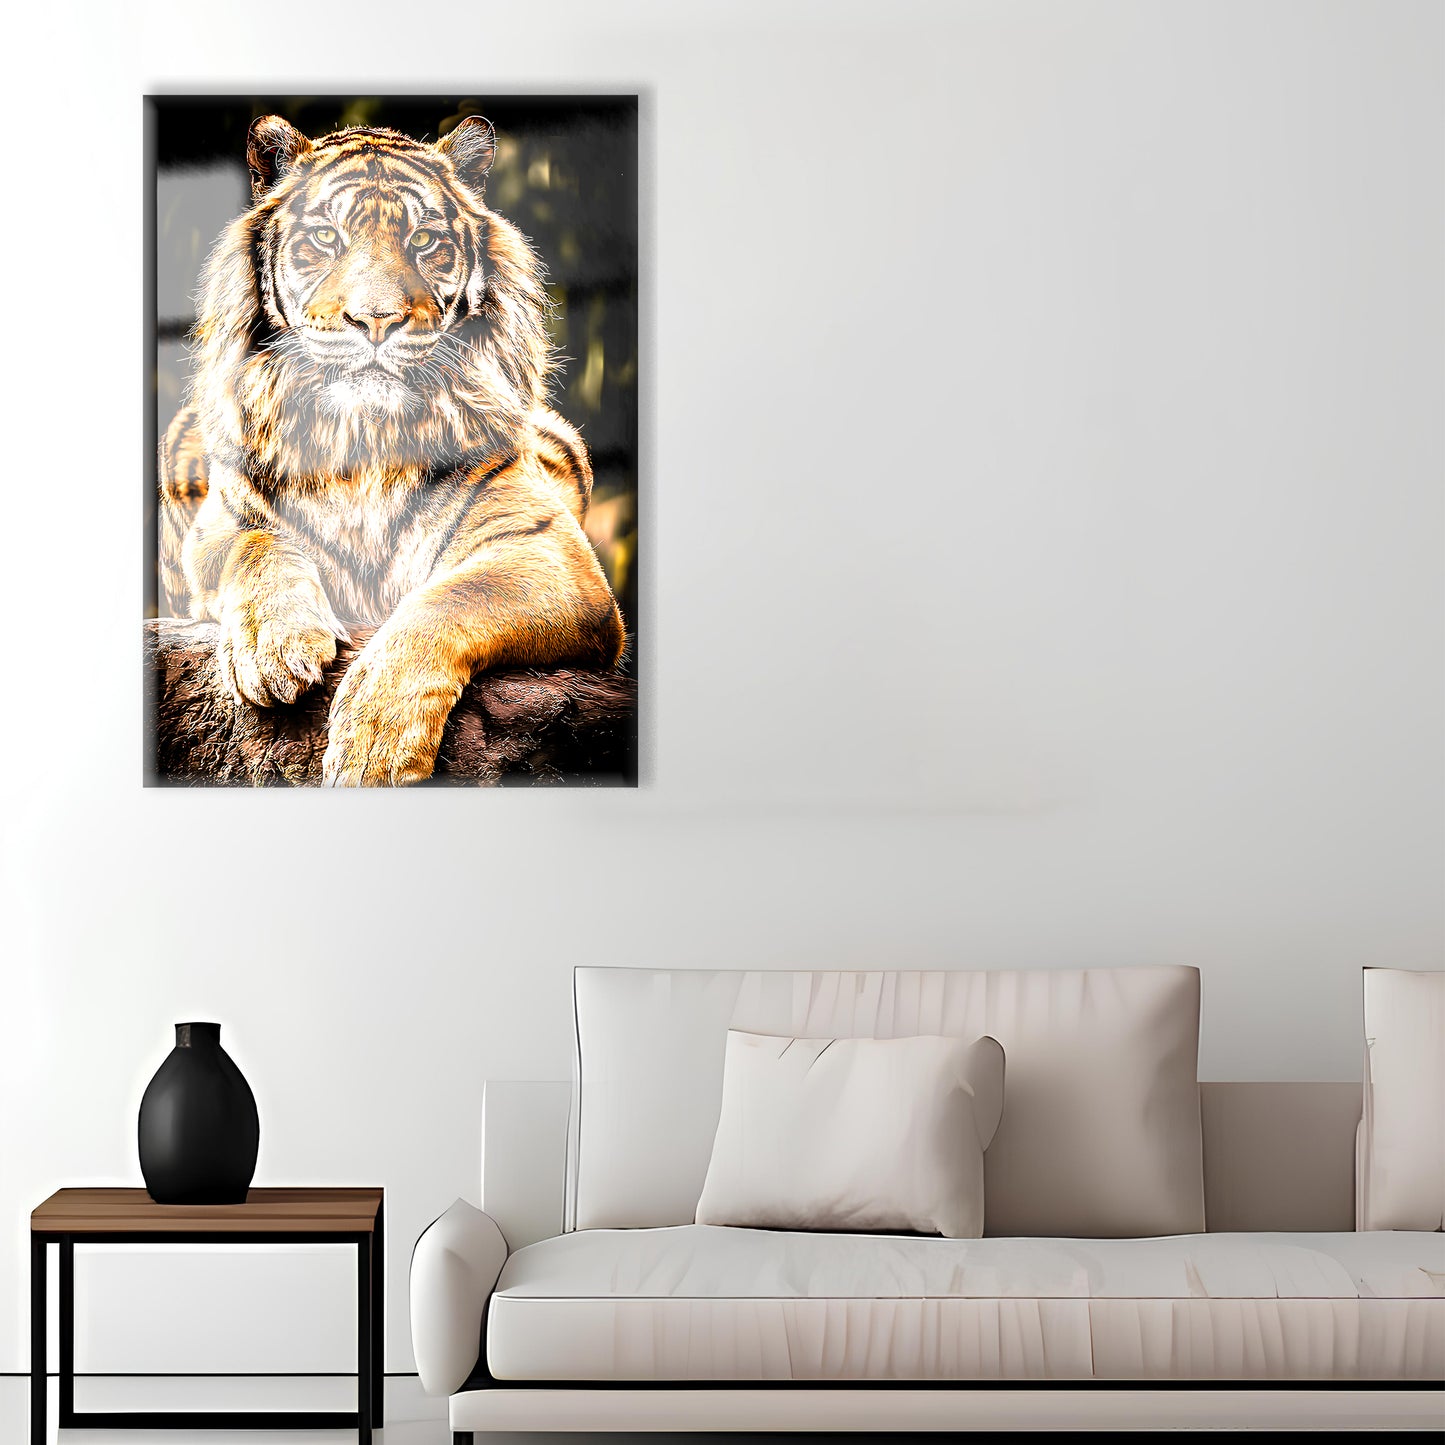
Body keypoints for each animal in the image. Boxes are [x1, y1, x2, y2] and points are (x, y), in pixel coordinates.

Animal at [158, 112, 625, 786]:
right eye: (325, 237)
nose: (376, 320)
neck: (364, 437)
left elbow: (448, 602)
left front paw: (374, 747)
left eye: (425, 241)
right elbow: (259, 548)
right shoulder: (220, 526)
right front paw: (274, 650)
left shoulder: (546, 552)